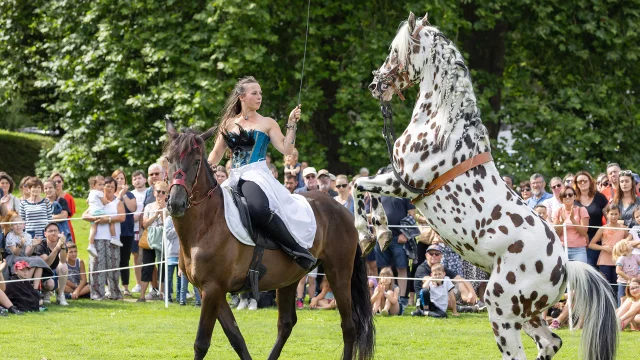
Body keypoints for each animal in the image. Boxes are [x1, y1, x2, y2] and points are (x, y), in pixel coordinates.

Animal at [162, 121, 376, 360]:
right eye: (168, 159)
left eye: (197, 161)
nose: (176, 203)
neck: (206, 224)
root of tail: (342, 210)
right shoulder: (208, 290)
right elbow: (236, 338)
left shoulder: (213, 289)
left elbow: (201, 343)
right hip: (290, 278)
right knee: (286, 324)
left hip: (338, 273)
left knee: (348, 326)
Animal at [356, 11, 620, 360]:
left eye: (394, 51)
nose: (375, 85)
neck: (444, 123)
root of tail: (565, 267)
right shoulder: (396, 176)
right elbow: (367, 185)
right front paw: (381, 232)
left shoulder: (407, 186)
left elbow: (359, 184)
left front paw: (367, 234)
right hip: (528, 315)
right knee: (551, 342)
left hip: (501, 310)